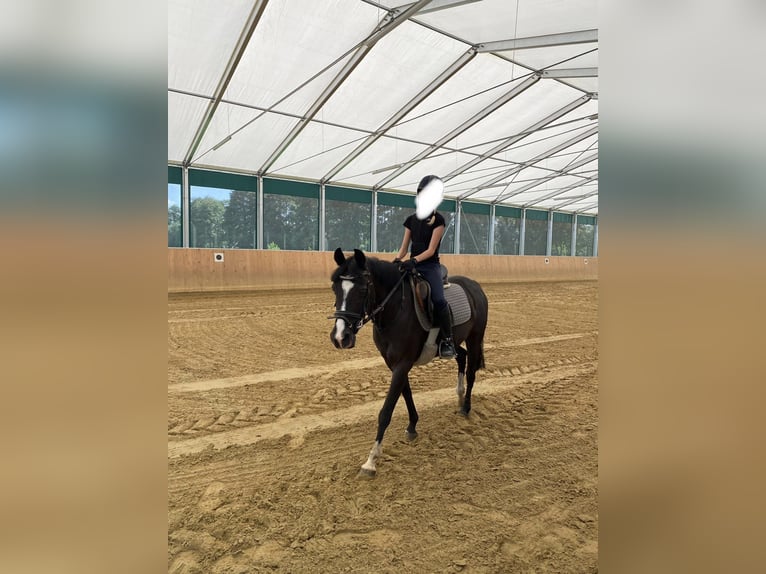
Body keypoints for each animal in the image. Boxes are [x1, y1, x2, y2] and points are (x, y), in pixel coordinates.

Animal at [330, 248, 489, 476]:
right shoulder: (393, 363)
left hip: (475, 337)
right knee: (462, 356)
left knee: (471, 371)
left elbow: (386, 410)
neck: (395, 310)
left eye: (362, 289)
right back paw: (459, 397)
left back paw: (465, 408)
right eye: (335, 288)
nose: (341, 337)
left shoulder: (402, 363)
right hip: (454, 341)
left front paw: (371, 461)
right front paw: (412, 426)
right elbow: (406, 393)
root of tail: (474, 285)